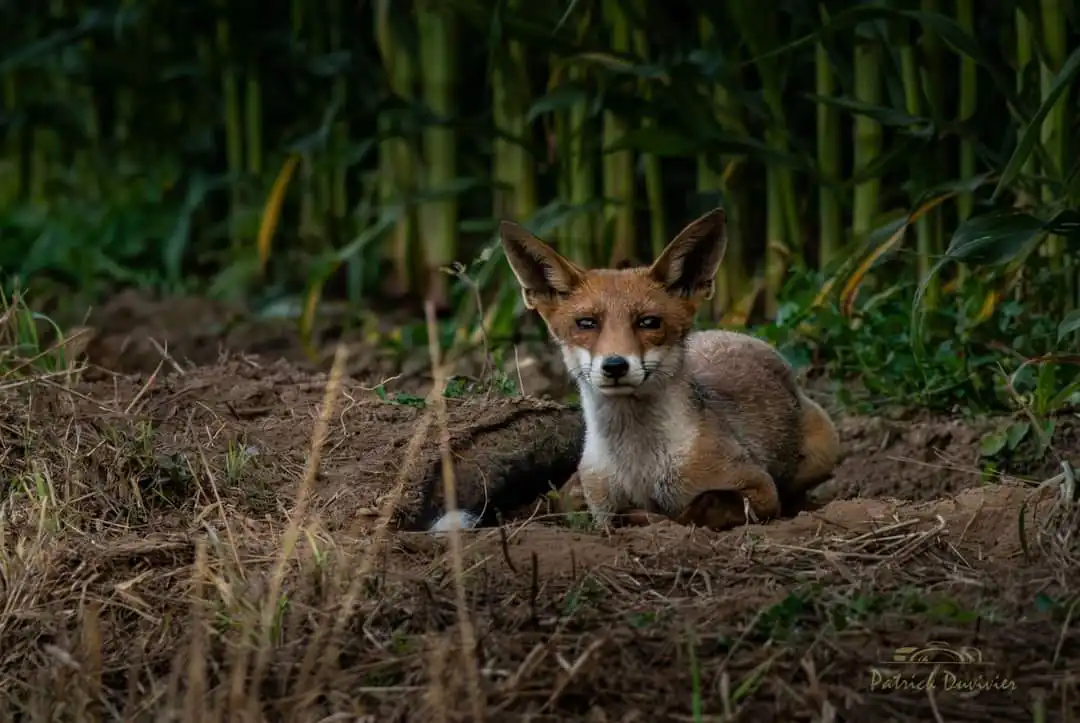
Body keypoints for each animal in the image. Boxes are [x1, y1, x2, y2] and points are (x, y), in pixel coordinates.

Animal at [492, 207, 842, 529]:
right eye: (586, 323)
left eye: (649, 322)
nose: (615, 365)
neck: (640, 468)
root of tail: (741, 336)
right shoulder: (597, 497)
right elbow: (605, 512)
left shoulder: (759, 488)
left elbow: (700, 506)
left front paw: (661, 517)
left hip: (824, 453)